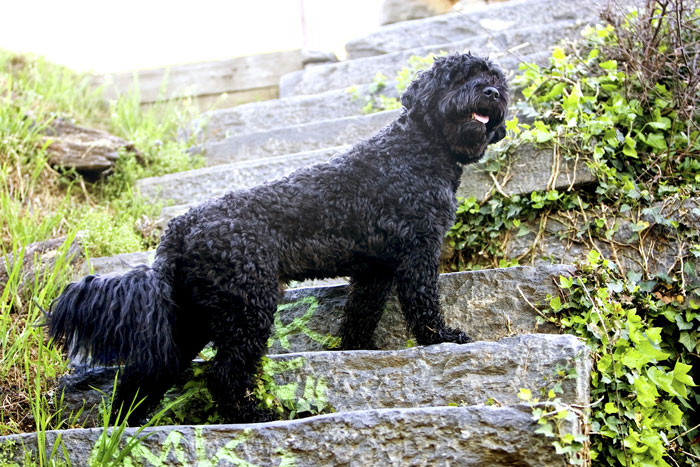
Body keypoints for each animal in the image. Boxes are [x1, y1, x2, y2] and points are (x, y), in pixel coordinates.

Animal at [47, 53, 508, 426]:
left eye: (494, 78)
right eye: (458, 77)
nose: (490, 92)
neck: (418, 148)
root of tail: (178, 231)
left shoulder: (375, 269)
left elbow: (360, 313)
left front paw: (359, 348)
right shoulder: (419, 250)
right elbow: (424, 302)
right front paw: (442, 337)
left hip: (195, 315)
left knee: (147, 372)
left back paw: (124, 426)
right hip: (248, 305)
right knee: (225, 375)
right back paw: (253, 415)